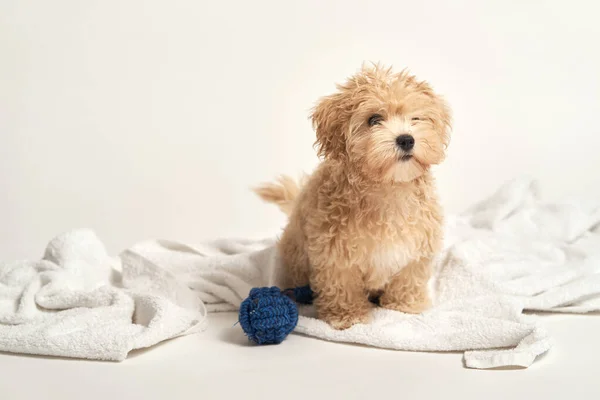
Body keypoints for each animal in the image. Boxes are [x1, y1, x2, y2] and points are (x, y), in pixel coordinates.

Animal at [255, 64, 452, 330]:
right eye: (374, 120)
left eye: (416, 118)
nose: (406, 139)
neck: (388, 189)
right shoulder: (334, 253)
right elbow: (343, 285)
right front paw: (348, 316)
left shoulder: (418, 245)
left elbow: (408, 276)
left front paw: (405, 305)